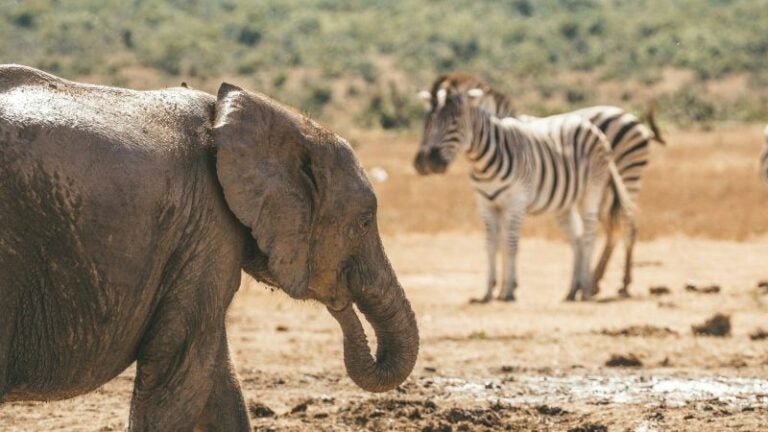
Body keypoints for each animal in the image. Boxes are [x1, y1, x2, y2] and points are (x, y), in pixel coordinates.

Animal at [416, 74, 664, 296]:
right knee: (595, 233)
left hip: (619, 181)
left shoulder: (516, 201)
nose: (425, 162)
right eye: (426, 121)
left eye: (454, 122)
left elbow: (510, 243)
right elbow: (493, 244)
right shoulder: (488, 203)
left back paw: (612, 284)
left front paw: (508, 289)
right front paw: (492, 289)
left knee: (618, 228)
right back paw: (584, 285)